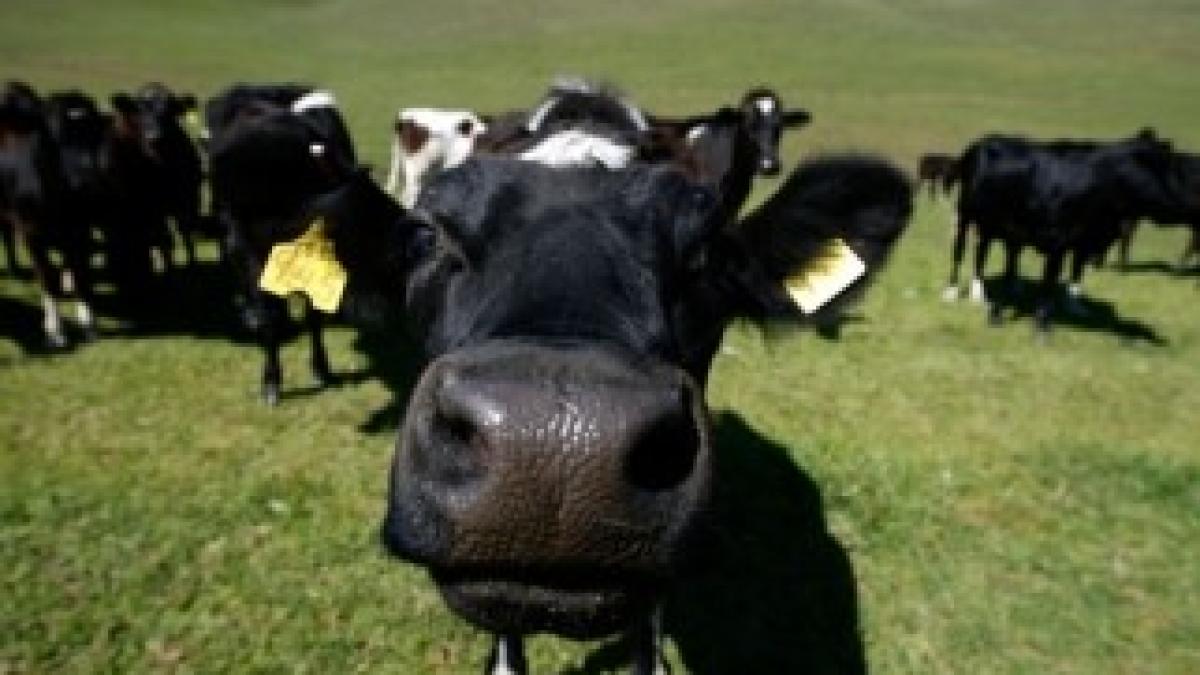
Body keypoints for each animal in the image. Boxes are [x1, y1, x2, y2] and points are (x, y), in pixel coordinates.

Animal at [0, 81, 98, 347]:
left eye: (94, 134)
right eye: (54, 137)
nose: (87, 177)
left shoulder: (81, 230)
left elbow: (81, 276)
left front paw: (88, 325)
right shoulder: (32, 235)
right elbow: (47, 280)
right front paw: (55, 332)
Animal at [205, 83, 360, 405]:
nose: (236, 235)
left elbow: (313, 314)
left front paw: (322, 368)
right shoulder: (254, 258)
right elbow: (270, 317)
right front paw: (271, 382)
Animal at [942, 130, 1198, 332]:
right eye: (1166, 169)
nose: (1190, 202)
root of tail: (982, 141)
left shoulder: (1077, 239)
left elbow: (1073, 271)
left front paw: (1072, 305)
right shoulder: (1056, 238)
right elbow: (1050, 281)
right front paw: (1043, 325)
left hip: (994, 223)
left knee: (989, 251)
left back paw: (989, 290)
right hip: (966, 213)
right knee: (961, 248)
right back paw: (954, 292)